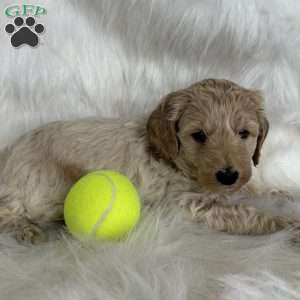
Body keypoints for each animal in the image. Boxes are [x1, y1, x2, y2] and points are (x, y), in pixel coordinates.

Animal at [0, 78, 292, 243]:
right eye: (199, 135)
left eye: (244, 134)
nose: (228, 175)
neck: (176, 162)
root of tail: (9, 152)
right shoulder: (189, 204)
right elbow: (244, 214)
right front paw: (287, 224)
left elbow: (251, 187)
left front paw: (281, 195)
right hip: (45, 184)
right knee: (8, 210)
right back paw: (26, 230)